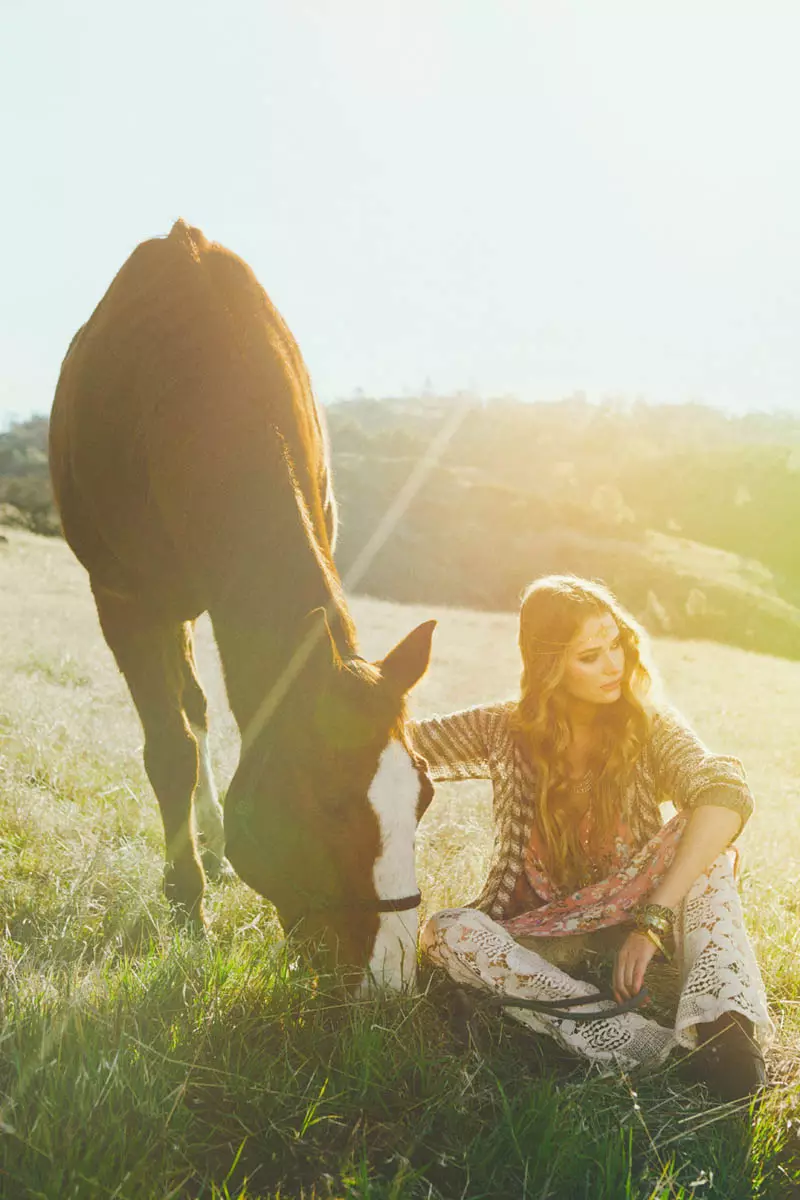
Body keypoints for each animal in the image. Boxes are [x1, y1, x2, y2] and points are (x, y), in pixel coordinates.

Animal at [48, 220, 438, 988]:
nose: (390, 975)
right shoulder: (124, 597)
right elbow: (169, 749)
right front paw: (186, 904)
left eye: (425, 796)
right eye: (331, 803)